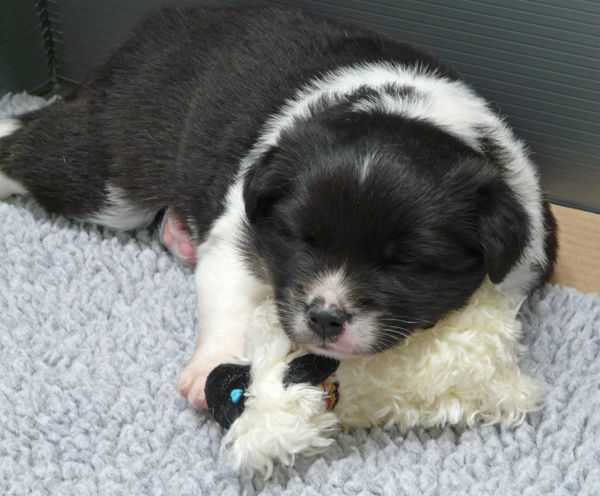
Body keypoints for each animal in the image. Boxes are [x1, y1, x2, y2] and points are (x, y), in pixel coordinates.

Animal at [0, 5, 556, 406]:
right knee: (29, 143)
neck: (405, 111)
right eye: (301, 239)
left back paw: (180, 233)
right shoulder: (240, 230)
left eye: (406, 263)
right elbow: (229, 299)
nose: (326, 319)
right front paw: (211, 368)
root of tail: (146, 29)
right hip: (108, 171)